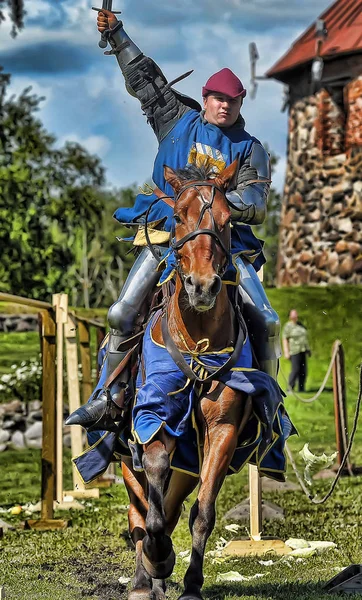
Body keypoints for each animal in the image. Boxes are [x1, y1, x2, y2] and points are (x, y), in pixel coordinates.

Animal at [121, 158, 255, 600]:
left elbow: (203, 512)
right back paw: (143, 578)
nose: (202, 286)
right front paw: (156, 557)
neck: (197, 341)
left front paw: (191, 583)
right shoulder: (151, 421)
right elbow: (153, 502)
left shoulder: (223, 431)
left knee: (171, 508)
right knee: (140, 509)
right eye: (177, 216)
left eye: (228, 220)